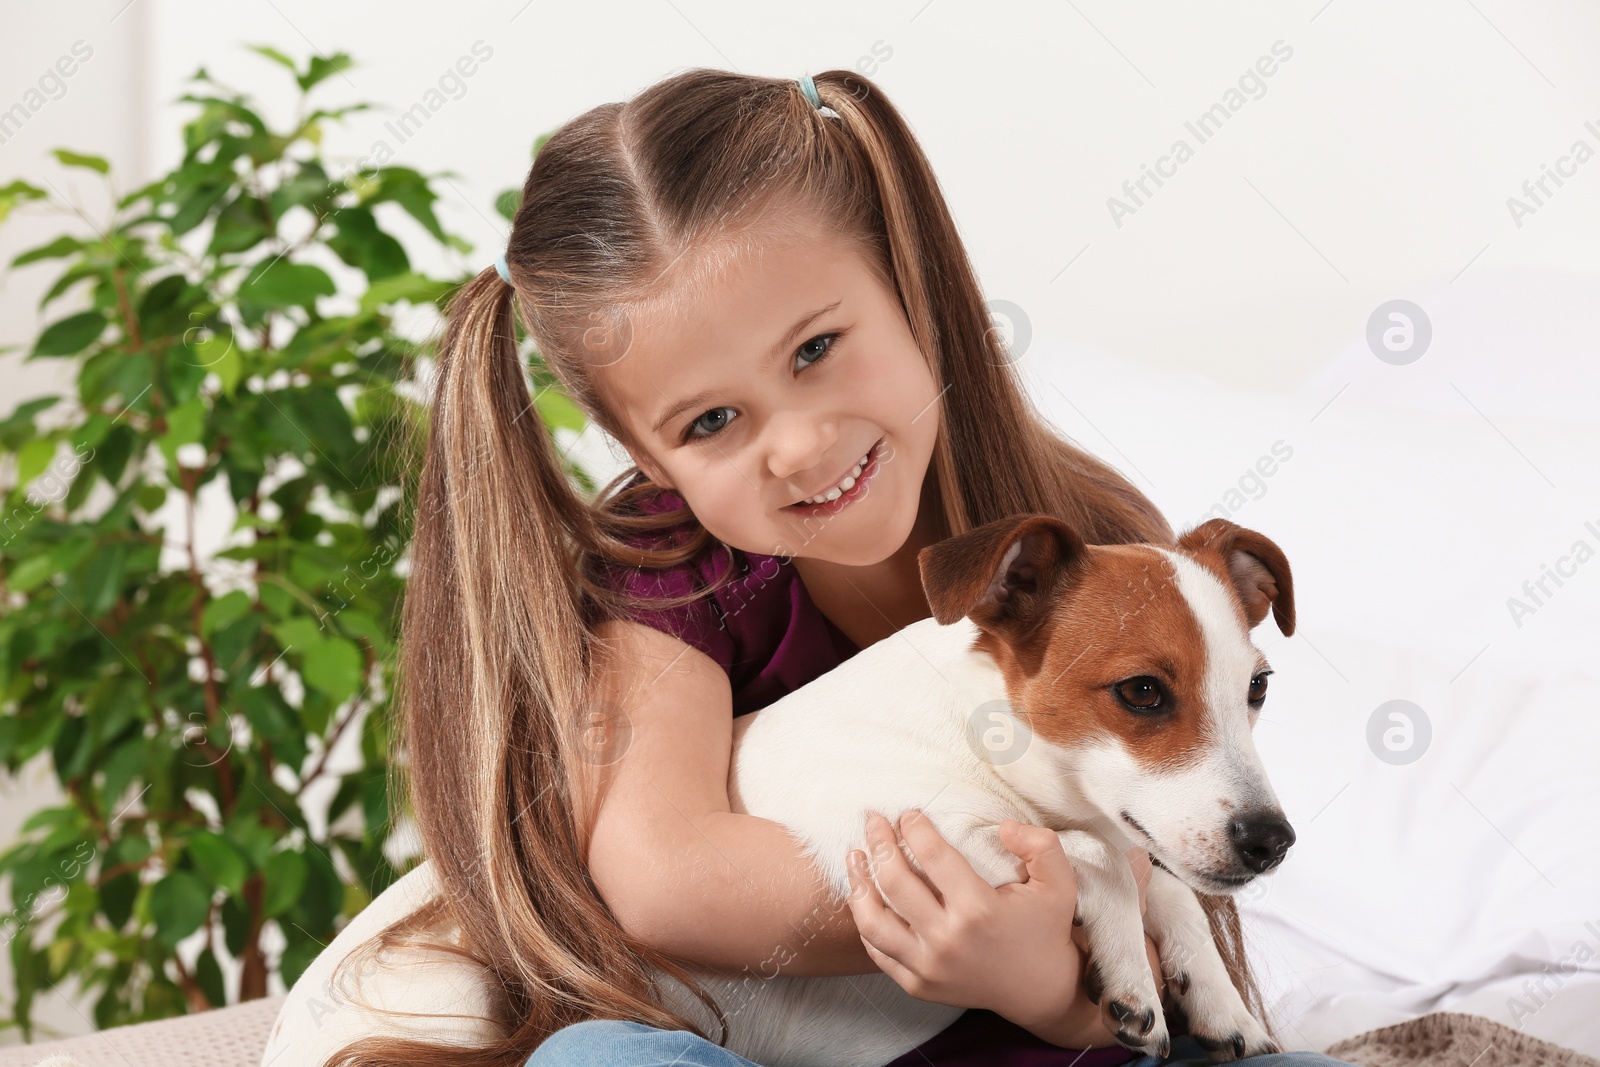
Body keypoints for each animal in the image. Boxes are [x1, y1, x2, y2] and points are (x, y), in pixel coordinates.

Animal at [652, 511, 1299, 1062]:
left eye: (1259, 686)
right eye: (1142, 691)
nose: (1272, 842)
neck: (978, 735)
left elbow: (1169, 888)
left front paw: (1222, 1003)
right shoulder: (921, 840)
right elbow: (1105, 858)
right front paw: (1134, 975)